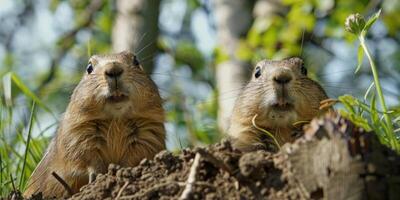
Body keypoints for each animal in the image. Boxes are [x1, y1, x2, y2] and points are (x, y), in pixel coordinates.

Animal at [23, 50, 166, 198]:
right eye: (89, 68)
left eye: (136, 61)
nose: (113, 69)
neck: (116, 119)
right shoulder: (78, 132)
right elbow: (83, 154)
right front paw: (96, 176)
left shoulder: (149, 131)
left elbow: (140, 152)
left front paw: (123, 171)